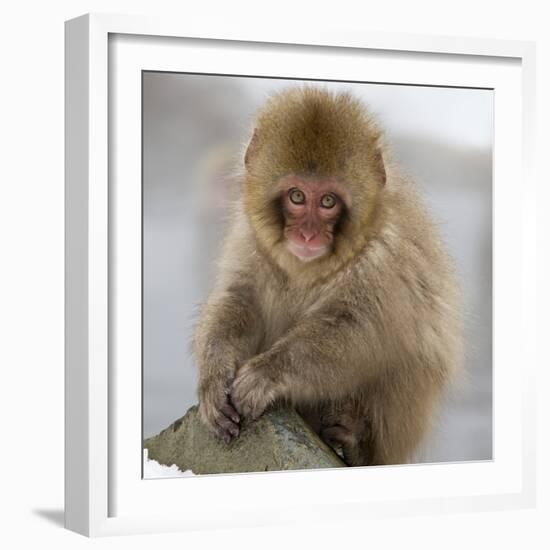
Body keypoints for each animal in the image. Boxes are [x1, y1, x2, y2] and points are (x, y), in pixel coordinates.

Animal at [192, 88, 464, 468]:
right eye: (296, 196)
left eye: (328, 201)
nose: (308, 235)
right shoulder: (250, 239)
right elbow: (239, 298)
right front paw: (214, 375)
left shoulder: (384, 257)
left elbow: (357, 330)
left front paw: (267, 373)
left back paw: (355, 443)